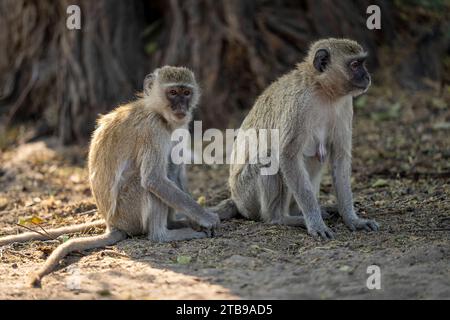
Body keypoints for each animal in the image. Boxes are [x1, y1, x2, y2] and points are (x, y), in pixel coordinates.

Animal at [0, 66, 220, 286]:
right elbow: (154, 179)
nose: (181, 107)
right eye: (173, 93)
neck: (161, 115)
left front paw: (196, 217)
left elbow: (176, 170)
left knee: (170, 168)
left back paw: (174, 223)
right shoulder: (152, 130)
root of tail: (112, 224)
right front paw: (206, 218)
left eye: (186, 93)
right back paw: (163, 235)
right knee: (148, 183)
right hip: (128, 213)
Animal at [214, 38, 380, 240]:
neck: (323, 91)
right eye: (355, 65)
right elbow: (288, 156)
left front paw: (352, 219)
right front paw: (315, 223)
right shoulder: (299, 105)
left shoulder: (345, 105)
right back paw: (281, 218)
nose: (367, 77)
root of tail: (235, 199)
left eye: (362, 63)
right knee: (269, 157)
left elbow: (340, 157)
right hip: (246, 195)